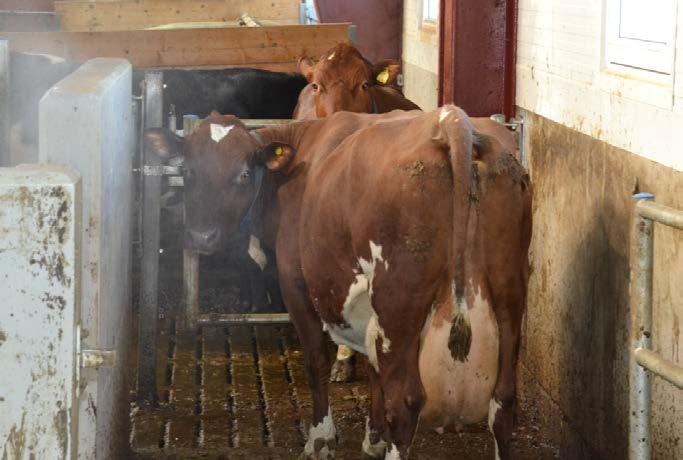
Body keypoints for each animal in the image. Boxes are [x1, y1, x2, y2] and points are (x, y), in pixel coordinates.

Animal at [144, 106, 532, 458]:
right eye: (187, 171)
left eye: (243, 173)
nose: (201, 237)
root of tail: (452, 121)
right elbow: (373, 369)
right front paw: (373, 437)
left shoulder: (295, 282)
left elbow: (316, 360)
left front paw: (320, 438)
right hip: (510, 292)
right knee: (503, 401)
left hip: (399, 301)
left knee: (406, 402)